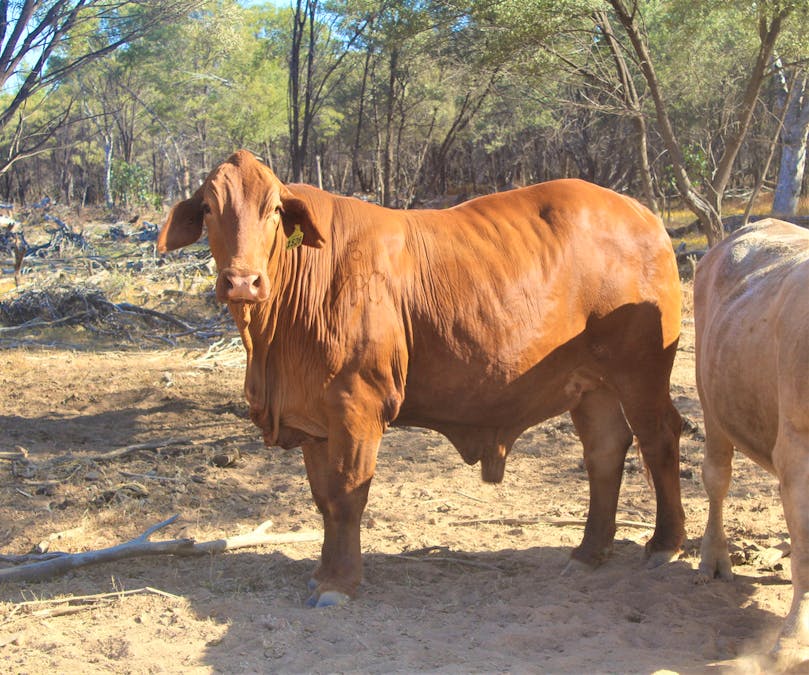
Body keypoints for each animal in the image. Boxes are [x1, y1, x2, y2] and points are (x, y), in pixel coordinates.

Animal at [156, 152, 680, 608]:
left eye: (274, 211)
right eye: (208, 207)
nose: (242, 282)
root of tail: (642, 213)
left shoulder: (356, 405)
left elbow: (346, 495)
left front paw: (339, 584)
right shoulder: (317, 420)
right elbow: (324, 499)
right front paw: (323, 572)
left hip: (641, 373)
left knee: (659, 440)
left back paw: (665, 544)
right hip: (592, 385)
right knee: (605, 452)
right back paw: (590, 552)